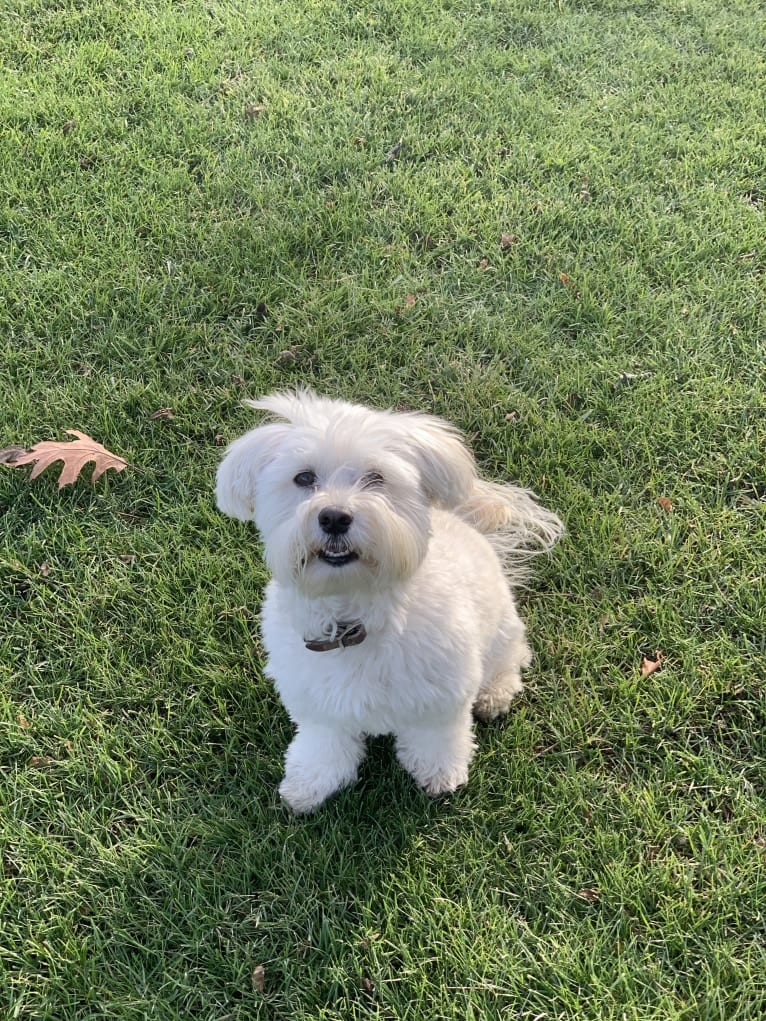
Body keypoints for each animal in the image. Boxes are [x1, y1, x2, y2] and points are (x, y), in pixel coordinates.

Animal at [216, 390, 563, 812]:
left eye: (375, 478)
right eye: (304, 478)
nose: (334, 517)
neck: (354, 616)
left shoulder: (442, 696)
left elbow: (436, 738)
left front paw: (440, 773)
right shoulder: (316, 702)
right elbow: (324, 743)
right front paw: (310, 783)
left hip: (500, 629)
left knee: (511, 657)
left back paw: (495, 693)